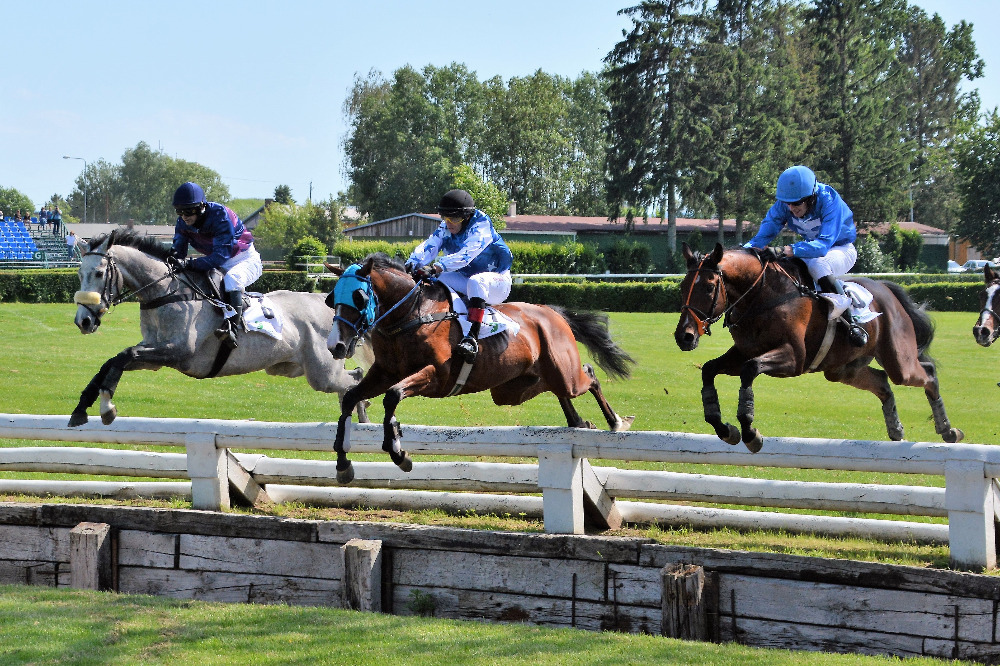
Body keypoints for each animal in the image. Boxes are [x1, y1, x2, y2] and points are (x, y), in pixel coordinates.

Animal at [69, 228, 376, 426]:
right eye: (79, 273)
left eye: (99, 273)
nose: (83, 321)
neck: (166, 292)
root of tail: (331, 310)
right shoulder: (155, 353)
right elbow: (112, 361)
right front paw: (82, 408)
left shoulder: (178, 352)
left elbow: (123, 357)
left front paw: (107, 407)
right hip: (291, 368)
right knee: (353, 377)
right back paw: (358, 414)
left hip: (321, 373)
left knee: (354, 378)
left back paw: (360, 412)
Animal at [324, 252, 632, 480]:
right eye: (331, 299)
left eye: (359, 297)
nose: (335, 346)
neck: (409, 313)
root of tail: (551, 312)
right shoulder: (385, 373)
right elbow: (351, 397)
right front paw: (342, 463)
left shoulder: (437, 376)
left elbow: (393, 396)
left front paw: (399, 452)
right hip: (513, 390)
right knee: (556, 389)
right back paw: (579, 421)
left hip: (564, 374)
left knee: (589, 376)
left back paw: (615, 421)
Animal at [672, 243, 960, 452]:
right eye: (683, 286)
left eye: (709, 287)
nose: (684, 336)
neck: (760, 296)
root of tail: (886, 289)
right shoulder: (742, 352)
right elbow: (709, 370)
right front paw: (725, 429)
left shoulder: (793, 359)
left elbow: (750, 370)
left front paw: (751, 433)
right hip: (842, 369)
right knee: (882, 383)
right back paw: (896, 429)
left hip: (899, 361)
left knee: (926, 372)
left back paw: (948, 430)